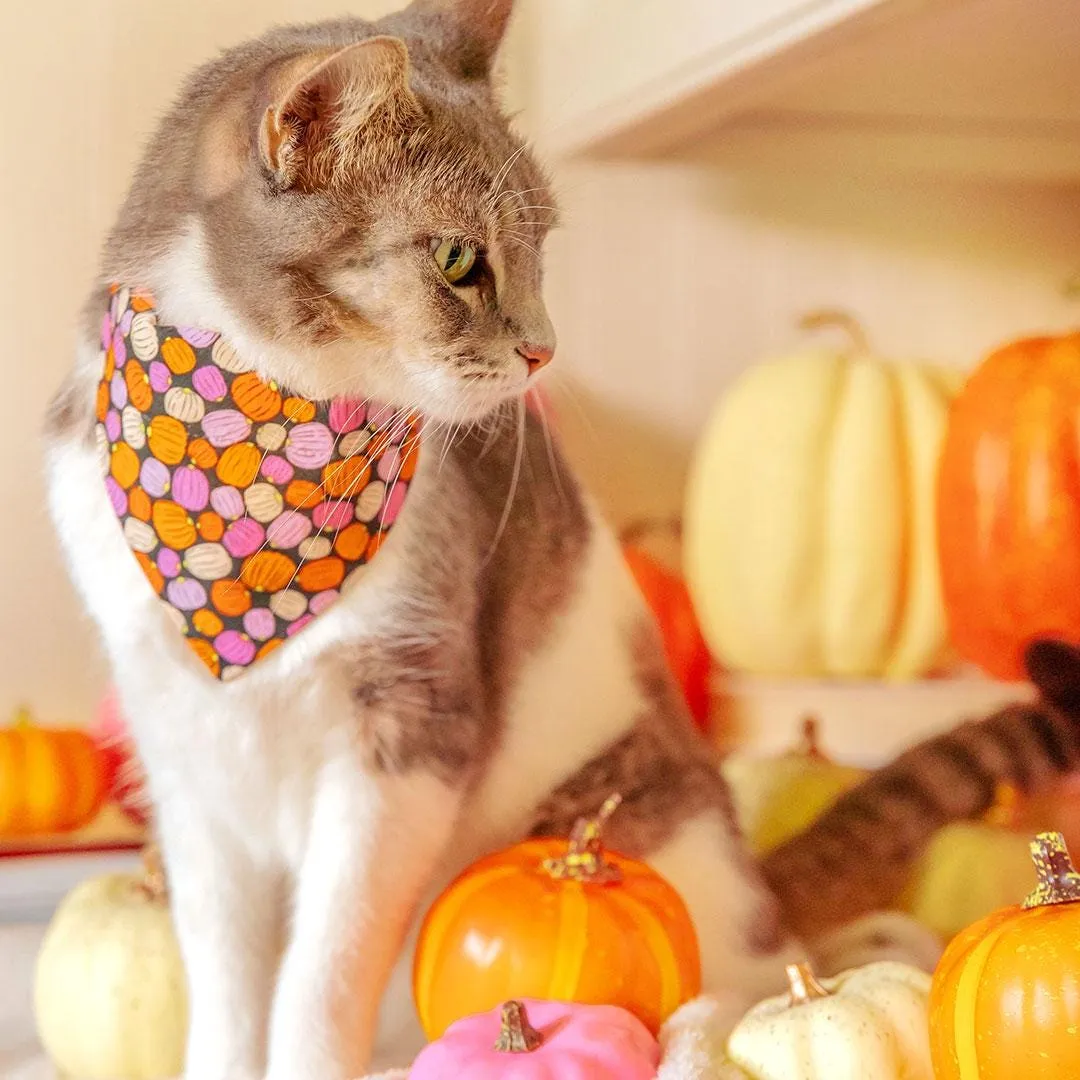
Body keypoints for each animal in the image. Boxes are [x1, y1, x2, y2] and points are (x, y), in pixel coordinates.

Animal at [42, 2, 1080, 1080]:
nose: (544, 349)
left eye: (541, 253)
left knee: (752, 981)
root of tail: (760, 890)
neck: (247, 444)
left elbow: (321, 968)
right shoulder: (185, 750)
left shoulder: (411, 730)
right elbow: (226, 979)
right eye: (459, 260)